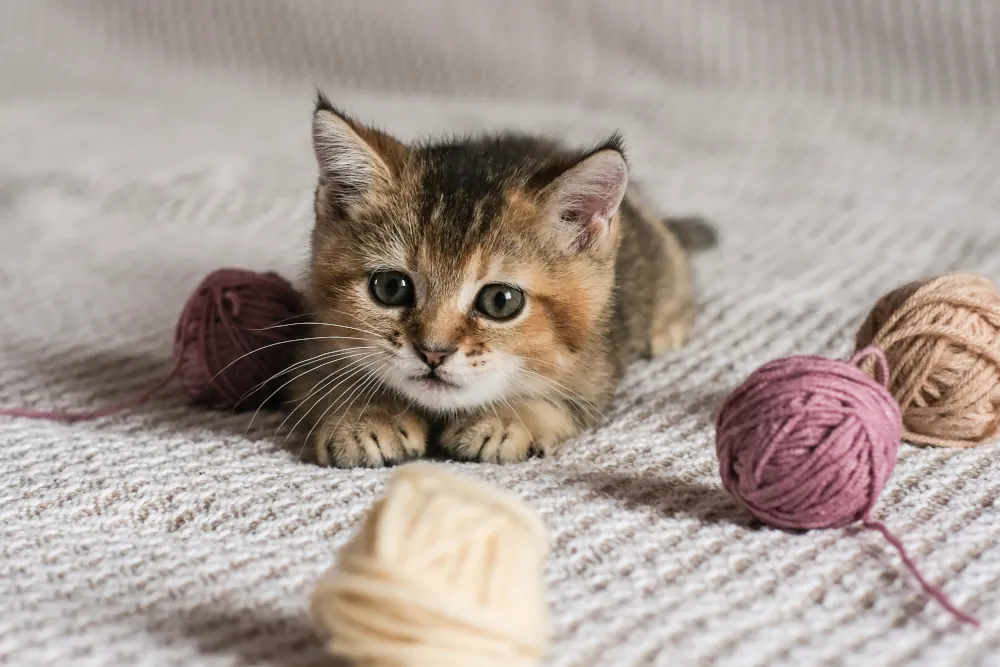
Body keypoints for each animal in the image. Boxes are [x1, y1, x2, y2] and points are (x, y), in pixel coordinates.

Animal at [288, 95, 712, 470]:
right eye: (391, 287)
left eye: (501, 301)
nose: (433, 353)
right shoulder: (313, 343)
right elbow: (324, 380)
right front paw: (365, 415)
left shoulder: (597, 376)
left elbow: (559, 401)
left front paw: (507, 418)